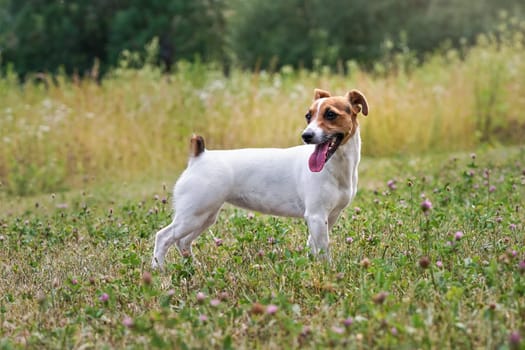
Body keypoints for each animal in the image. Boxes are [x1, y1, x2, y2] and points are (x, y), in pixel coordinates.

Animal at [149, 87, 366, 268]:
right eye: (308, 116)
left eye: (330, 114)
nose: (306, 135)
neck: (335, 167)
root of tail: (199, 156)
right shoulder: (316, 215)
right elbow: (323, 250)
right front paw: (327, 271)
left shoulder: (329, 216)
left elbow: (313, 245)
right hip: (193, 215)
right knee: (163, 237)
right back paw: (158, 270)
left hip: (204, 216)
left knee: (183, 241)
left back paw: (194, 267)